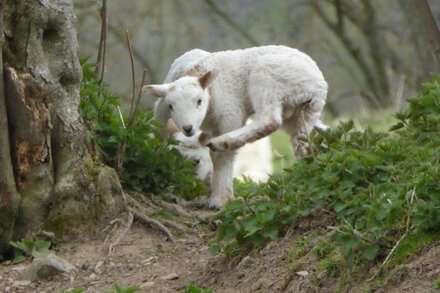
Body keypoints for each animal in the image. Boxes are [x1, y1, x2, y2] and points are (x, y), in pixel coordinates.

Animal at [144, 45, 326, 208]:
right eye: (171, 106)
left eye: (199, 101)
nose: (187, 127)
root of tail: (318, 85)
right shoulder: (161, 112)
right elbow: (160, 139)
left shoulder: (230, 115)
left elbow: (222, 158)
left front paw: (219, 199)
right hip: (301, 113)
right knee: (303, 141)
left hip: (267, 77)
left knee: (270, 120)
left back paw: (222, 142)